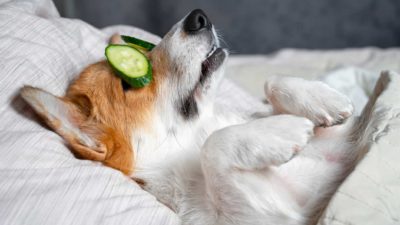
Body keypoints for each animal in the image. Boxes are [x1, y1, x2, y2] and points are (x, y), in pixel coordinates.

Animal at [19, 8, 372, 225]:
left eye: (146, 49)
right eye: (128, 82)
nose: (198, 17)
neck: (194, 135)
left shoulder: (343, 144)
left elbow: (271, 83)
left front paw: (323, 100)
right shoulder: (264, 217)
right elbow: (214, 147)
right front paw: (282, 131)